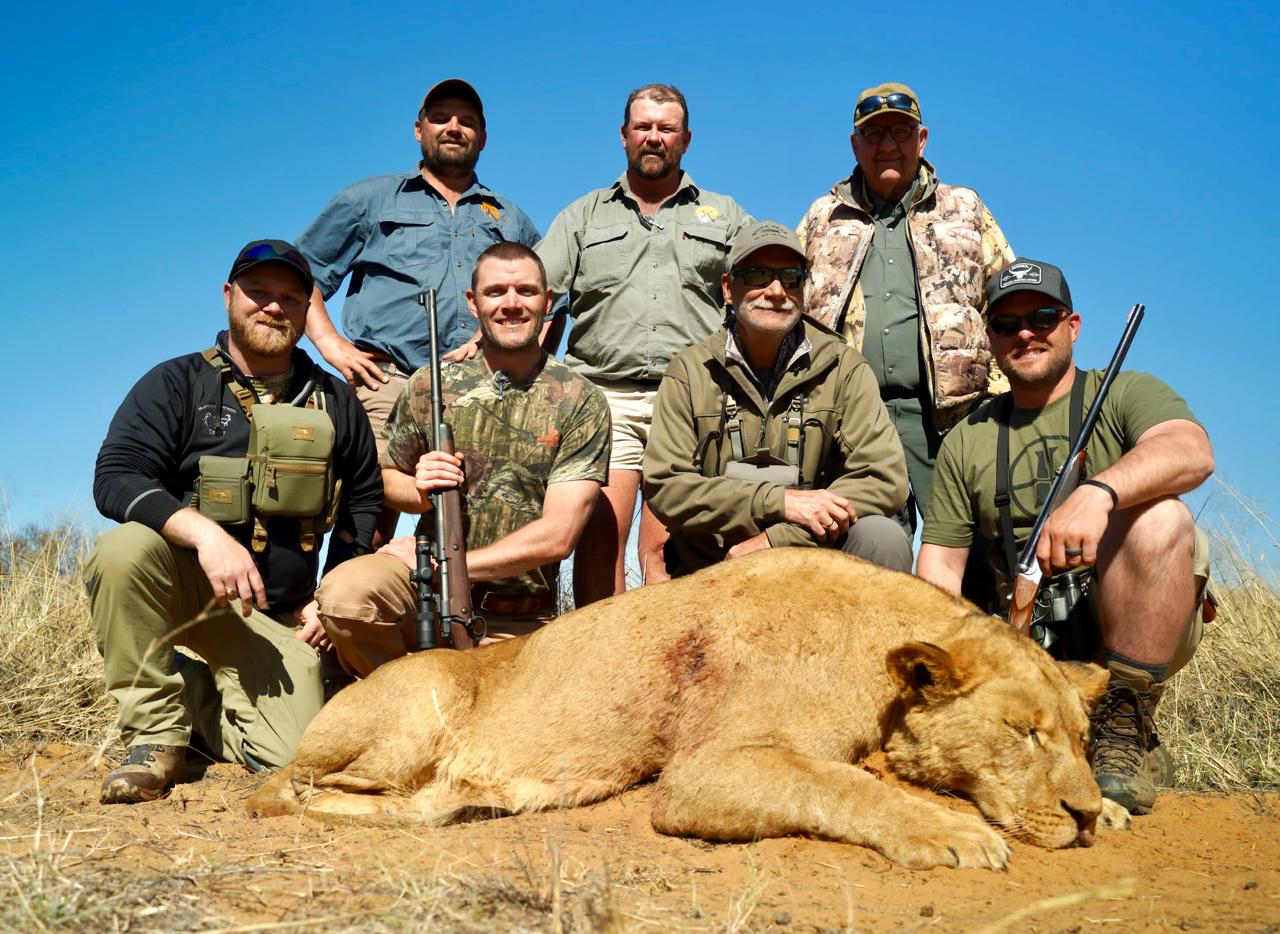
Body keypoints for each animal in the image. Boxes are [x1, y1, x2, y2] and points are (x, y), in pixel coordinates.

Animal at [248, 548, 1113, 870]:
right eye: (1022, 732)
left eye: (1079, 738)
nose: (1081, 817)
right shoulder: (702, 772)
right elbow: (840, 784)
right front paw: (955, 834)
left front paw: (1112, 812)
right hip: (415, 707)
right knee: (292, 790)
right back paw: (447, 804)